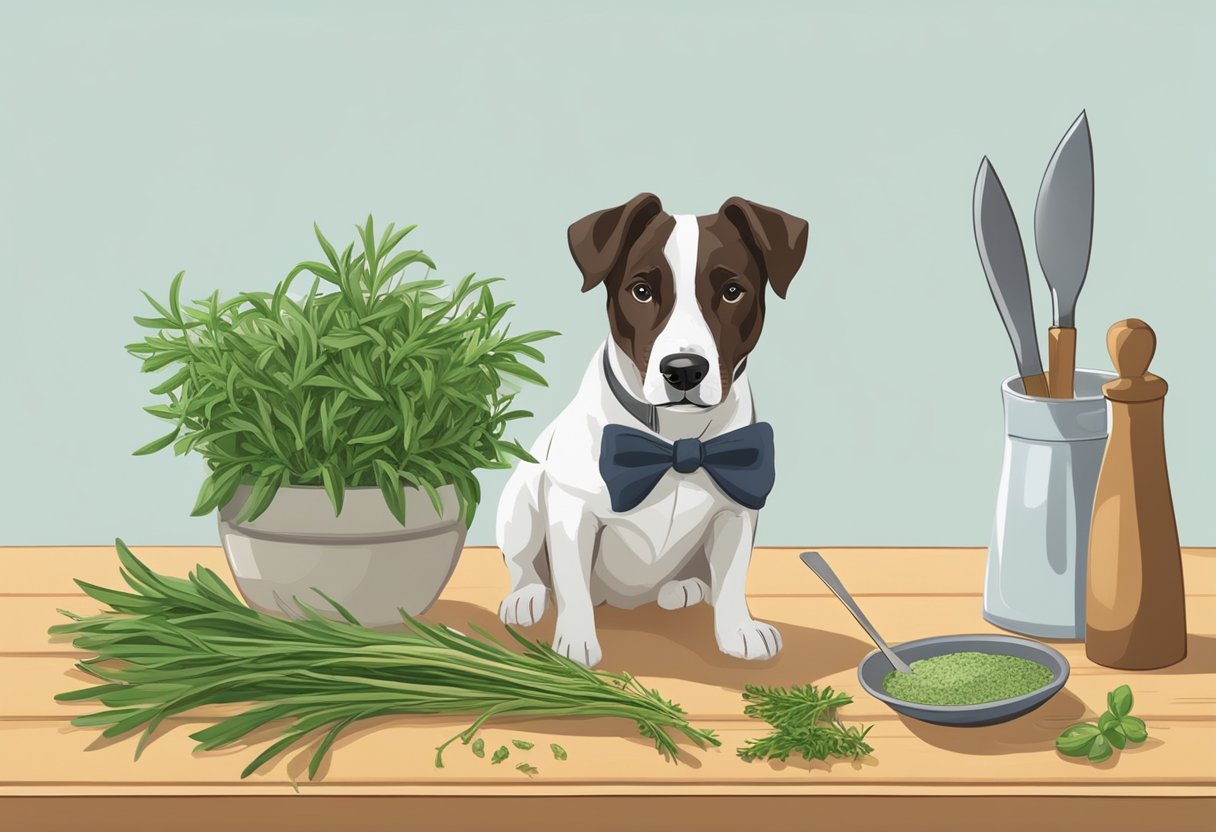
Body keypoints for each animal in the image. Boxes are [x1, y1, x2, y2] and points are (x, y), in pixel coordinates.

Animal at [493, 193, 807, 671]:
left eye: (732, 291)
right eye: (641, 291)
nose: (684, 370)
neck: (678, 442)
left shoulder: (737, 509)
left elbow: (733, 577)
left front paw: (739, 630)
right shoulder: (571, 513)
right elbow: (571, 583)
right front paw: (575, 643)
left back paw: (685, 588)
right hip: (521, 500)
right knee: (525, 562)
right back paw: (525, 597)